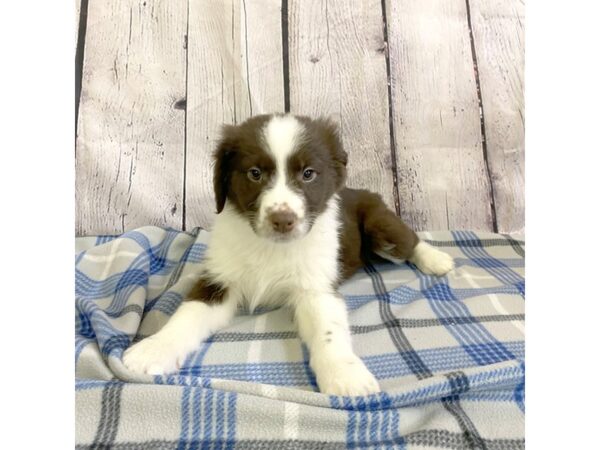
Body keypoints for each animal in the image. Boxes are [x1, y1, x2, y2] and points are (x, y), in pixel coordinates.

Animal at [124, 114, 452, 396]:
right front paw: (153, 349)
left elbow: (329, 330)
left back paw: (438, 260)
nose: (283, 220)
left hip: (381, 226)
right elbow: (187, 315)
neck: (271, 246)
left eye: (308, 174)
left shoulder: (315, 287)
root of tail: (363, 191)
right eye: (255, 173)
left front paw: (345, 375)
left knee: (410, 239)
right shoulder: (220, 278)